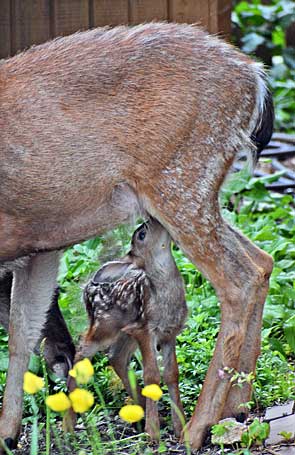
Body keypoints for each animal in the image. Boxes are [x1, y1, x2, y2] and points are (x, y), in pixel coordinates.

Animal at [0, 23, 274, 450]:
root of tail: (254, 76)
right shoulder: (39, 244)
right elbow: (22, 333)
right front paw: (8, 432)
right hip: (197, 192)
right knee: (261, 260)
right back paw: (235, 409)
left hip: (181, 181)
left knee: (239, 280)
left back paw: (196, 429)